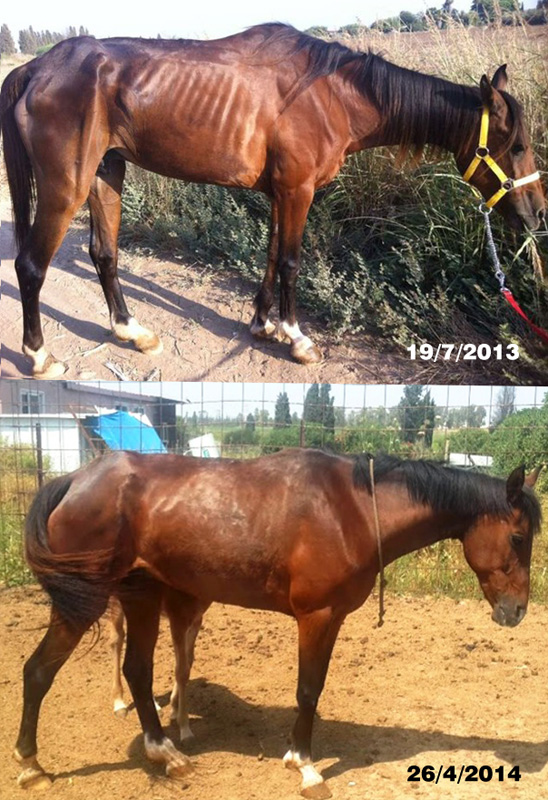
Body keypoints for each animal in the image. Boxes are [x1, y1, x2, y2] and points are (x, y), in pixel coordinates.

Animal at [0, 24, 544, 379]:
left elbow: (269, 256)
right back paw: (39, 356)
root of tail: (37, 68)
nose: (538, 212)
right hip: (66, 186)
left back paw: (131, 331)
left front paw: (263, 323)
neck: (335, 95)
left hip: (106, 172)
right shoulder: (298, 191)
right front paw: (298, 338)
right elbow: (290, 261)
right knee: (30, 265)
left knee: (104, 254)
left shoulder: (282, 192)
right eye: (517, 145)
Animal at [14, 449, 541, 798]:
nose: (516, 610)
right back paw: (30, 764)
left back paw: (167, 753)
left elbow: (312, 689)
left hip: (140, 595)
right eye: (518, 536)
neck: (351, 508)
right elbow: (308, 690)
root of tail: (74, 479)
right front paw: (305, 766)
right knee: (38, 672)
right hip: (84, 603)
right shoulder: (317, 617)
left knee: (139, 673)